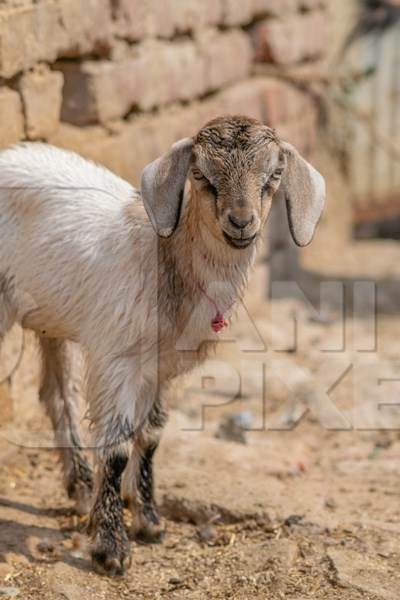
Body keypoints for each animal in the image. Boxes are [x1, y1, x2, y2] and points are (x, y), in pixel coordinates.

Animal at [0, 113, 324, 576]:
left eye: (274, 175)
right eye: (202, 175)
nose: (241, 223)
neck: (163, 257)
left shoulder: (162, 366)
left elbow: (151, 436)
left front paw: (149, 522)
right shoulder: (117, 360)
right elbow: (117, 447)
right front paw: (111, 549)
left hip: (51, 318)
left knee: (58, 394)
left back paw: (80, 486)